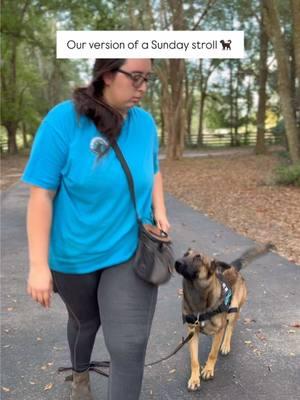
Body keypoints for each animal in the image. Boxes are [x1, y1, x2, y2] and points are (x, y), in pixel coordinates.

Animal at [175, 244, 274, 390]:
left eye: (198, 258)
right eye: (185, 254)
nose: (177, 262)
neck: (199, 298)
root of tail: (233, 267)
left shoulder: (219, 331)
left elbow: (212, 353)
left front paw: (208, 369)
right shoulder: (192, 333)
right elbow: (194, 360)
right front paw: (194, 378)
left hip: (233, 310)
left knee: (230, 328)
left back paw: (226, 345)